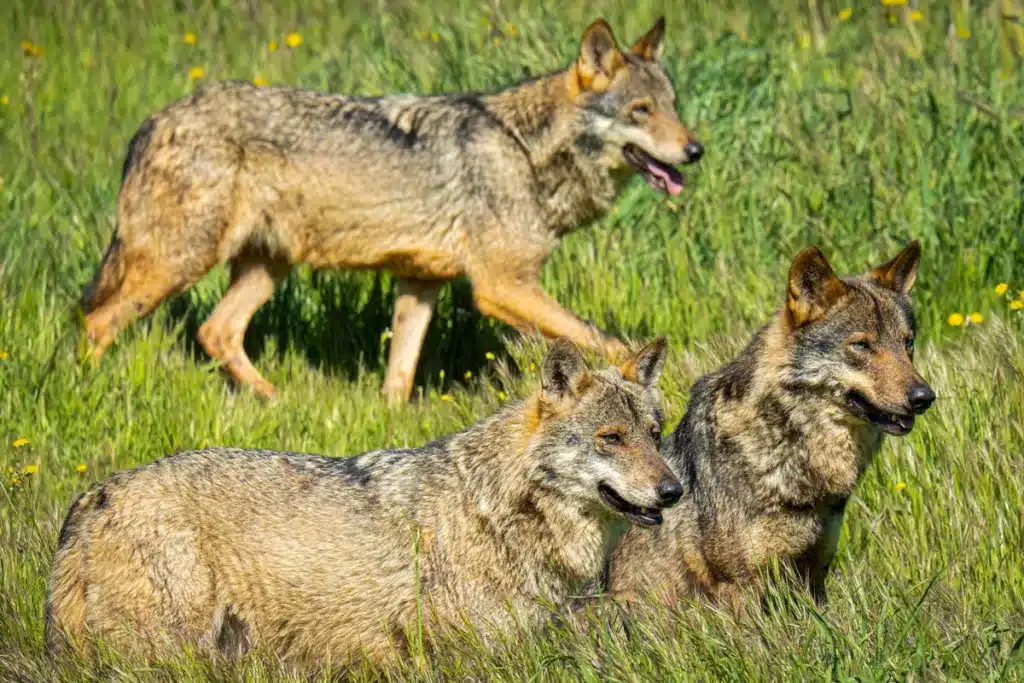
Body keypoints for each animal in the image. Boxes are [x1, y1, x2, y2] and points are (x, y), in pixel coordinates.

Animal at [80, 17, 703, 402]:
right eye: (641, 111)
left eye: (673, 106)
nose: (695, 150)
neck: (525, 151)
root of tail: (154, 120)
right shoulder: (502, 287)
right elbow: (602, 340)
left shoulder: (419, 284)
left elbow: (398, 380)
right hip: (179, 264)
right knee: (96, 322)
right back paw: (90, 393)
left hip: (265, 269)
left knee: (216, 331)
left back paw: (277, 403)